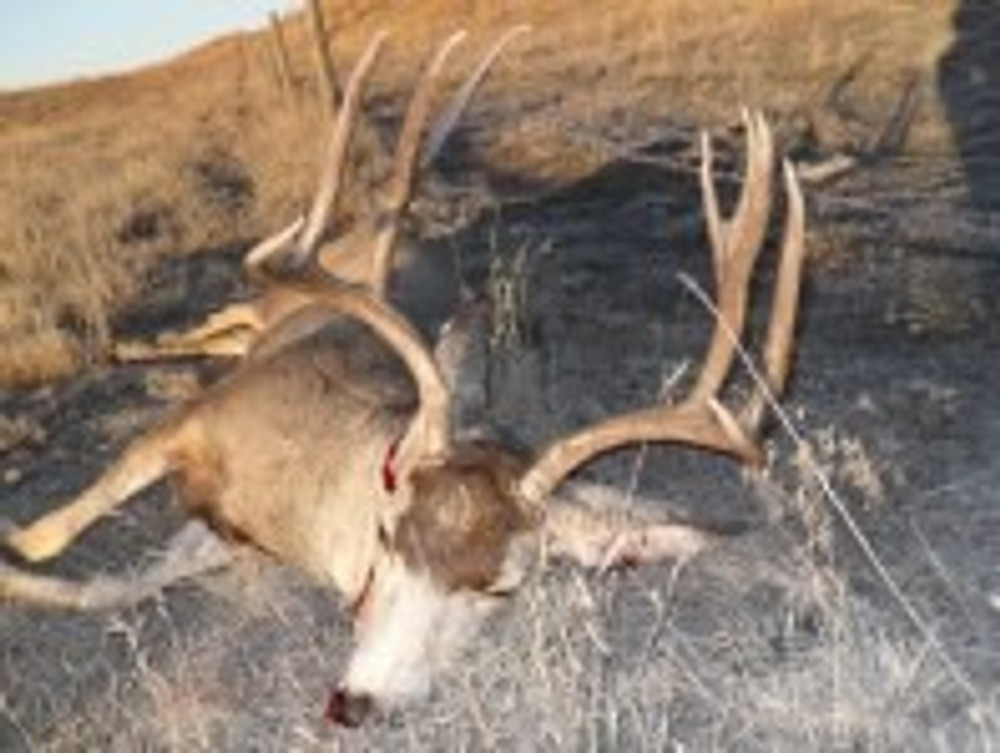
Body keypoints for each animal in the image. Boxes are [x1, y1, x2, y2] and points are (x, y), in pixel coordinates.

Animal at [113, 30, 528, 366]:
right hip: (268, 302)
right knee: (222, 317)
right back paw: (130, 346)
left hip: (264, 315)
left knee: (224, 334)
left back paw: (137, 347)